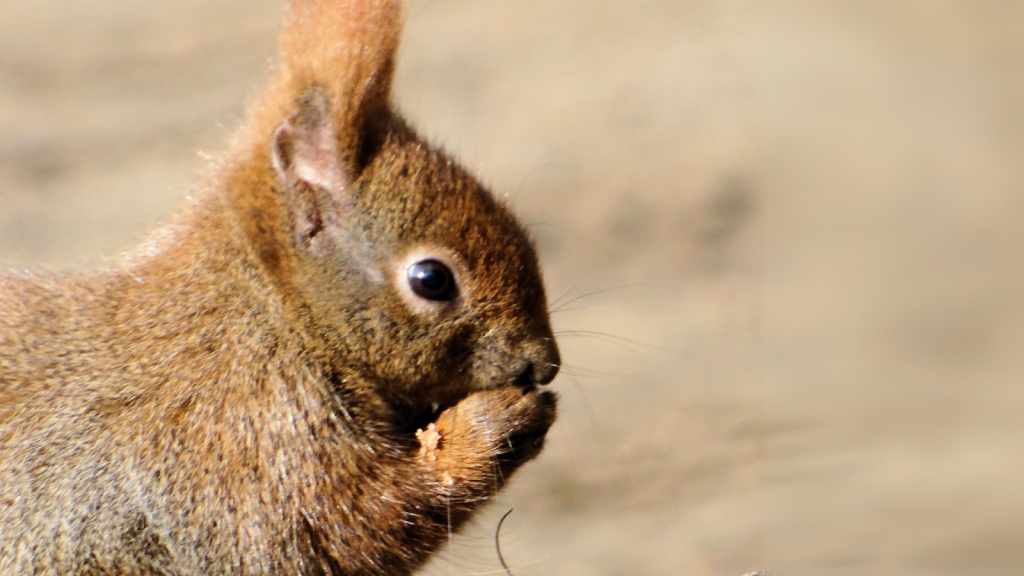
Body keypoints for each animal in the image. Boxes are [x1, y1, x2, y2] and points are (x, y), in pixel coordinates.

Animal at [0, 2, 561, 569]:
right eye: (432, 280)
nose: (544, 364)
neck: (271, 308)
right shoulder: (236, 439)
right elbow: (347, 526)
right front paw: (494, 424)